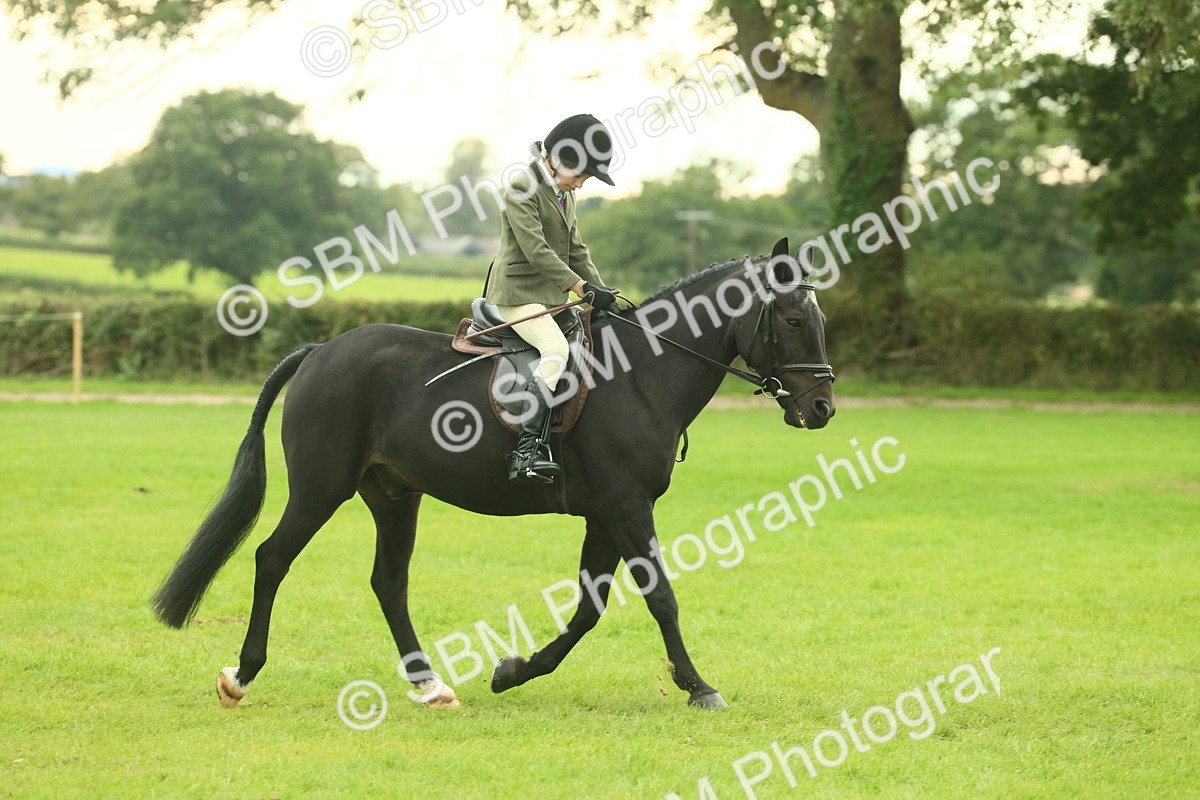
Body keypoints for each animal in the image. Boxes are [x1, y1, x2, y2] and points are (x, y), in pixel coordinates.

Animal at [151, 237, 836, 710]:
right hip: (322, 489)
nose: (822, 408)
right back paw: (240, 677)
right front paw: (698, 686)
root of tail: (322, 351)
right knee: (272, 559)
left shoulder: (605, 514)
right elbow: (659, 596)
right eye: (794, 321)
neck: (642, 372)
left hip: (394, 496)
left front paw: (512, 672)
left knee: (388, 582)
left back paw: (430, 687)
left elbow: (589, 608)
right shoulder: (625, 506)